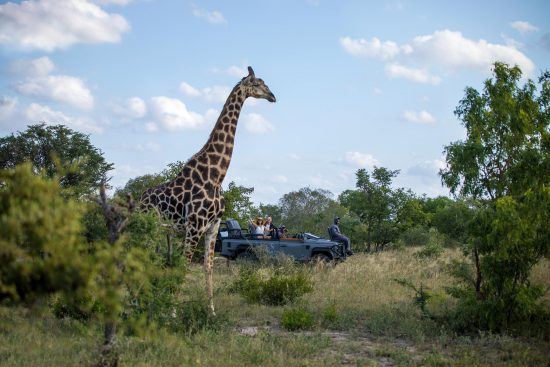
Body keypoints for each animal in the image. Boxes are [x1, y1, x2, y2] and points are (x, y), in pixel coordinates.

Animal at [138, 66, 276, 314]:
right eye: (258, 83)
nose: (273, 96)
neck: (217, 175)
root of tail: (138, 199)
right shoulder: (194, 226)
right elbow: (184, 266)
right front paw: (172, 311)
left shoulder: (212, 227)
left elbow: (207, 267)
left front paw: (210, 311)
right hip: (150, 229)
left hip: (164, 232)